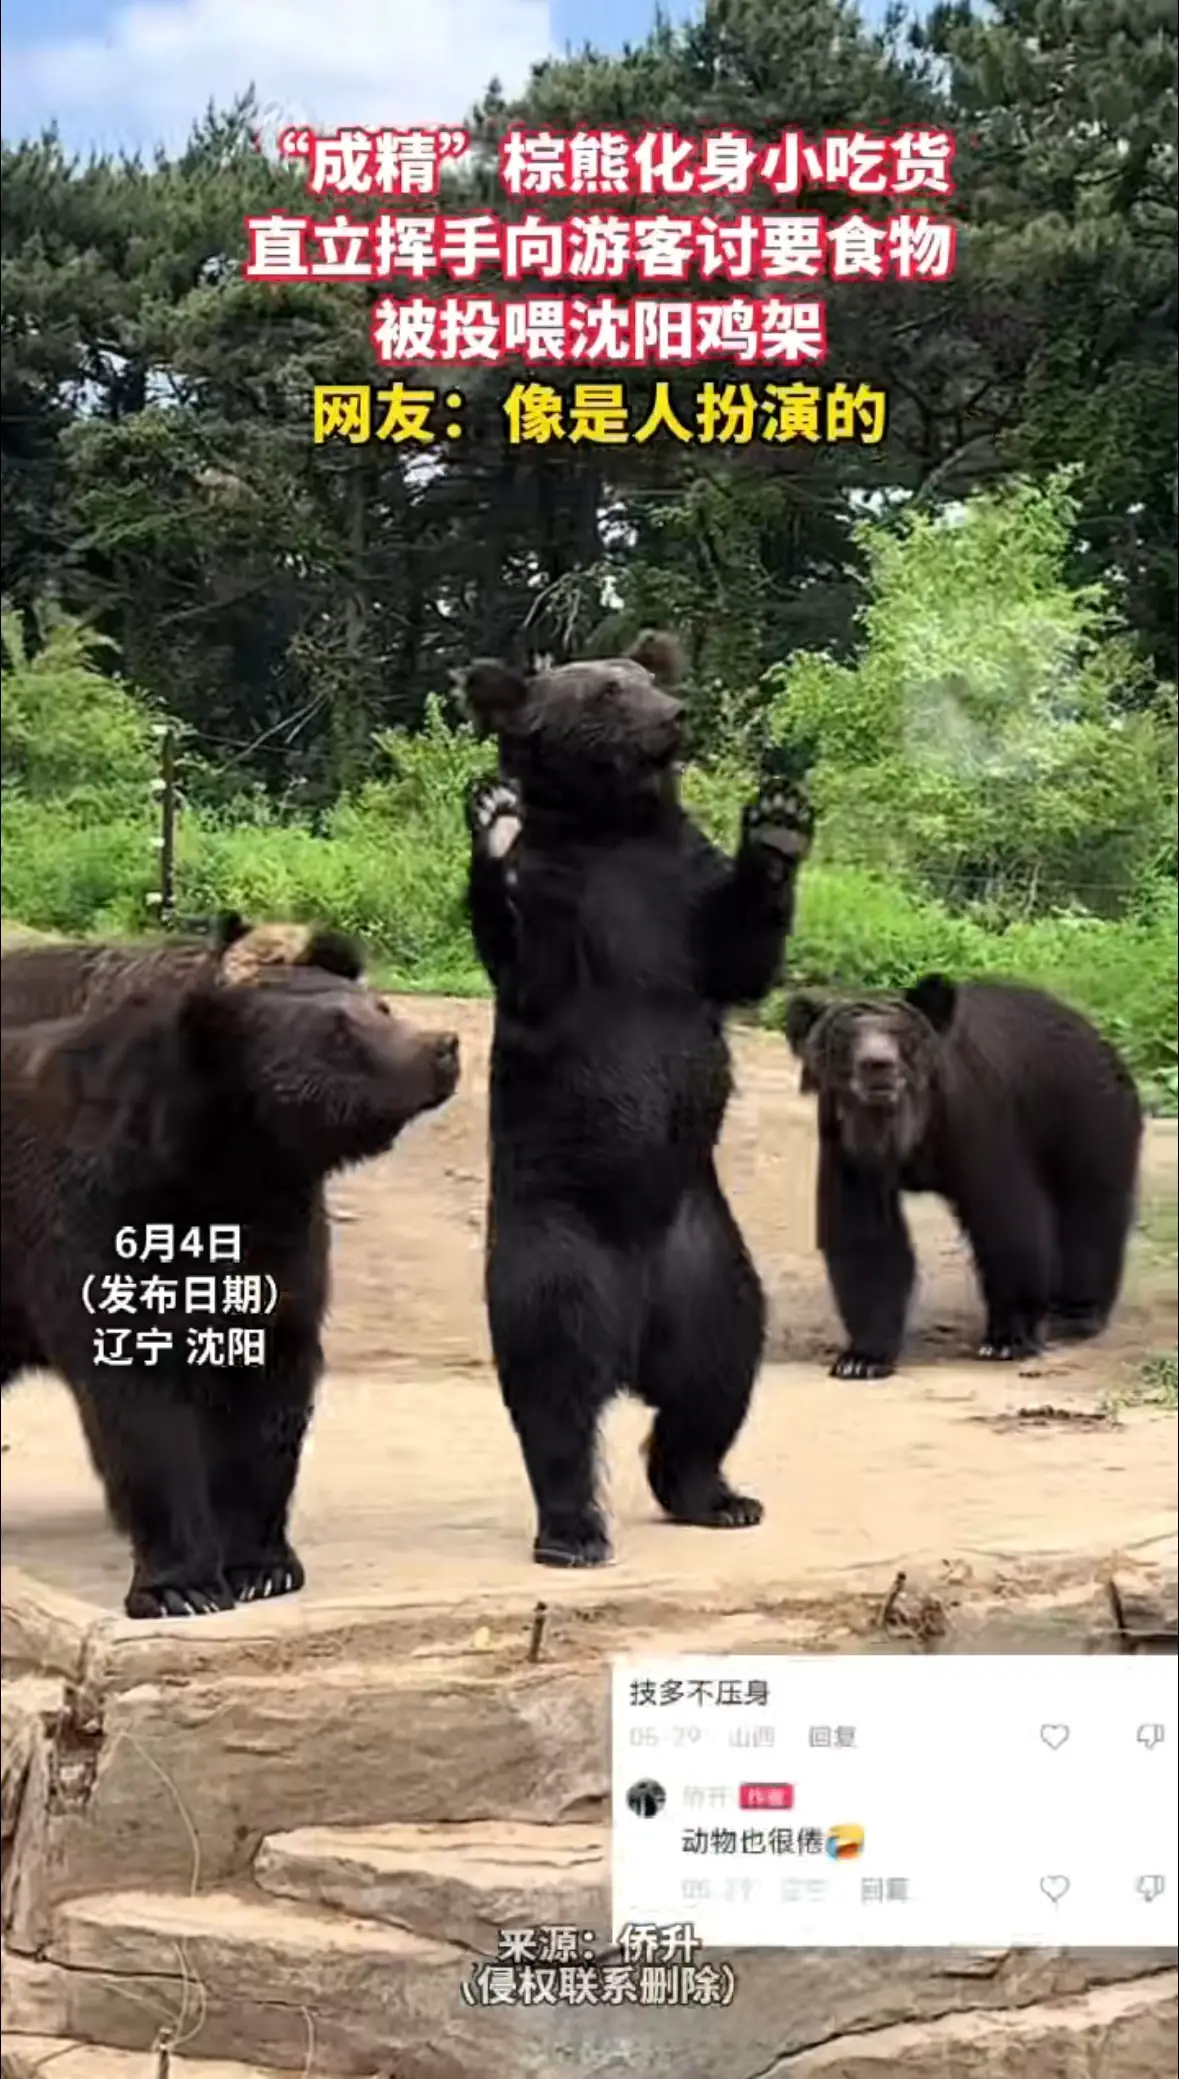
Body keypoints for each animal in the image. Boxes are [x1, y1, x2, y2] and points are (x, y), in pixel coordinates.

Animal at [1, 964, 460, 1618]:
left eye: (382, 1007)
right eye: (338, 1033)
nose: (442, 1046)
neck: (226, 1170)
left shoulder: (280, 1234)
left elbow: (268, 1398)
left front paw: (260, 1568)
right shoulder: (98, 1216)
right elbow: (143, 1411)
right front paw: (181, 1586)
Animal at [457, 629, 816, 1568]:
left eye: (643, 677)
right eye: (604, 695)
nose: (675, 715)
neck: (611, 828)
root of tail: (634, 1336)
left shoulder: (679, 884)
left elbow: (738, 954)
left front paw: (778, 821)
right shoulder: (567, 912)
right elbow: (525, 954)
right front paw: (494, 824)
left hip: (705, 1260)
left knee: (719, 1370)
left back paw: (715, 1494)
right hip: (556, 1245)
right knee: (554, 1387)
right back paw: (573, 1529)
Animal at [784, 972, 1144, 1379]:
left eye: (899, 1031)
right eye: (845, 1036)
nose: (878, 1064)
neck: (906, 1129)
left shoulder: (973, 1124)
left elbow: (1006, 1221)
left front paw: (1007, 1339)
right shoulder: (847, 1145)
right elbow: (866, 1237)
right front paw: (862, 1358)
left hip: (1085, 1116)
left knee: (1090, 1210)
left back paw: (1075, 1314)